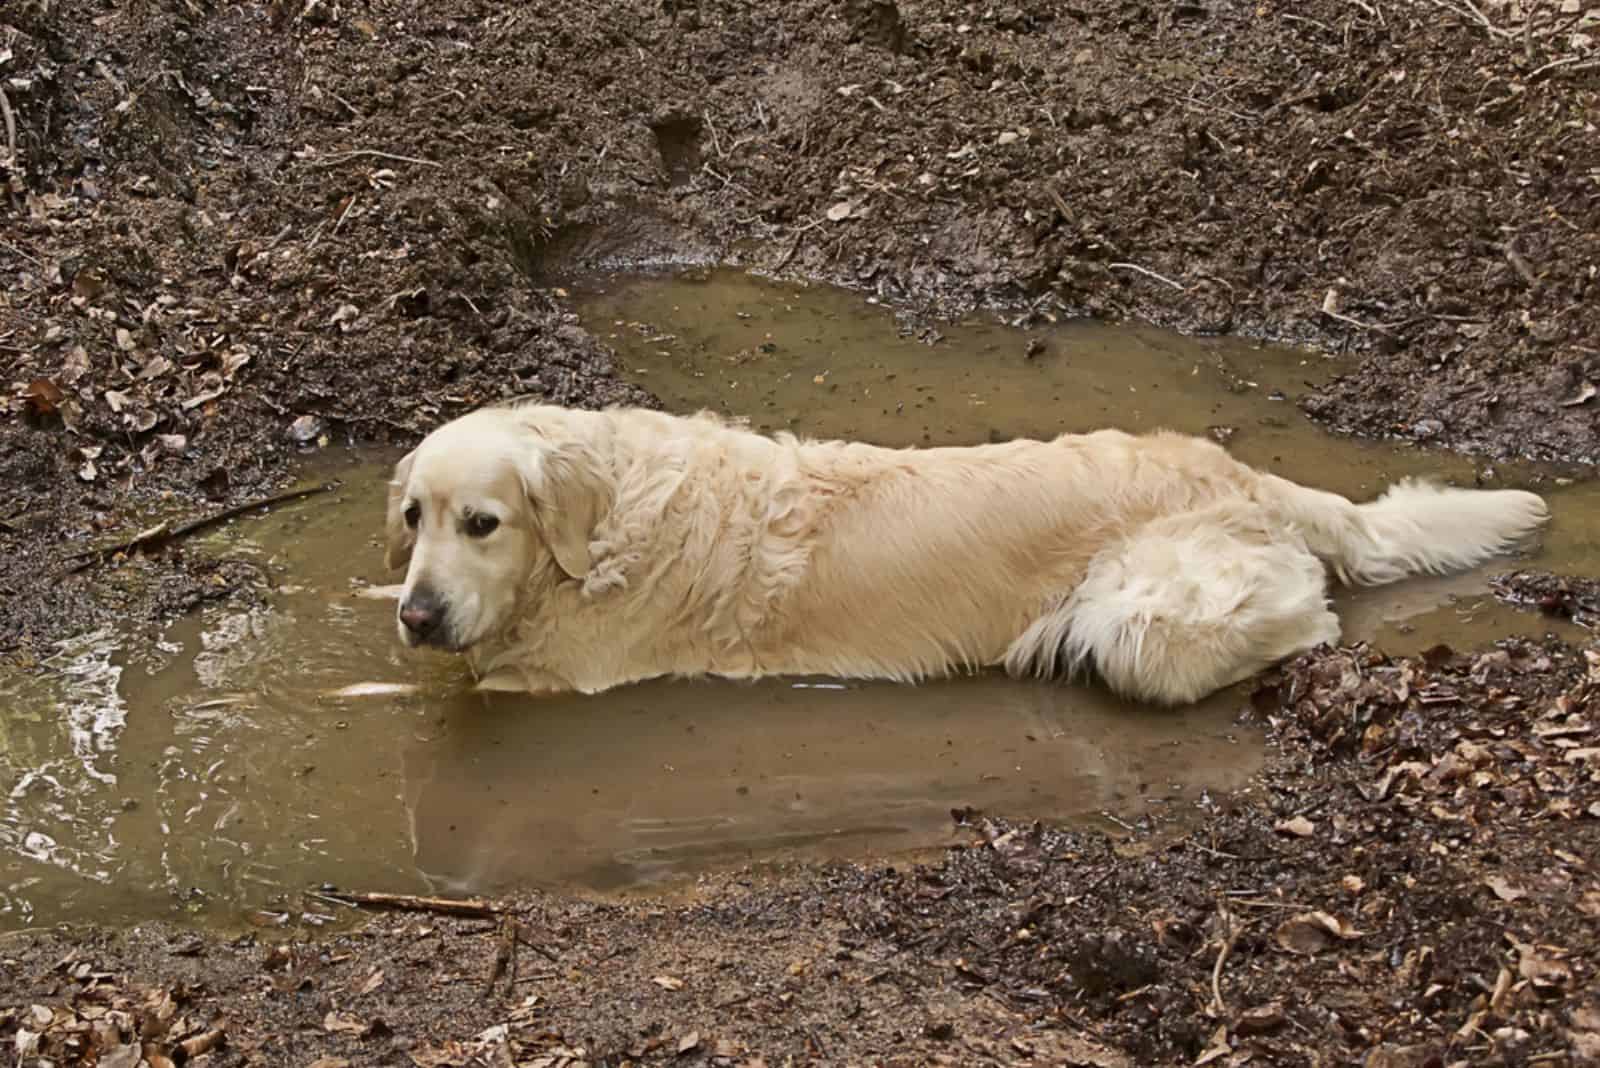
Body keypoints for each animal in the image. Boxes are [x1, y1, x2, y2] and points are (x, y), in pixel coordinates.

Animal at [387, 399, 1548, 700]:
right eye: (413, 519)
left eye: (482, 522)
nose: (416, 615)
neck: (606, 519)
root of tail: (1241, 475)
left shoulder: (563, 677)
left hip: (1144, 621)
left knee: (1297, 610)